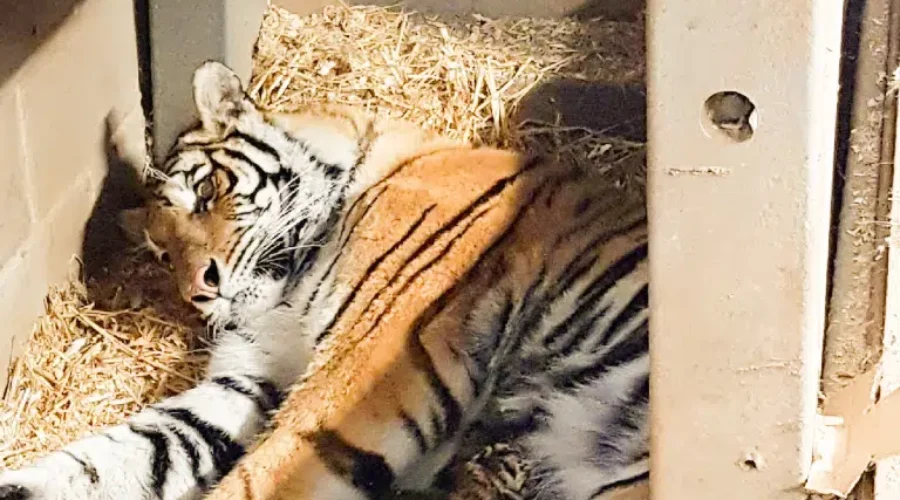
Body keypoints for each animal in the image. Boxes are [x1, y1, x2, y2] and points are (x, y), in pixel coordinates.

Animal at [0, 61, 649, 500]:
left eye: (205, 193)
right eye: (162, 253)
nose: (200, 289)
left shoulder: (379, 350)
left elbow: (274, 468)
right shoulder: (249, 378)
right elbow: (127, 452)